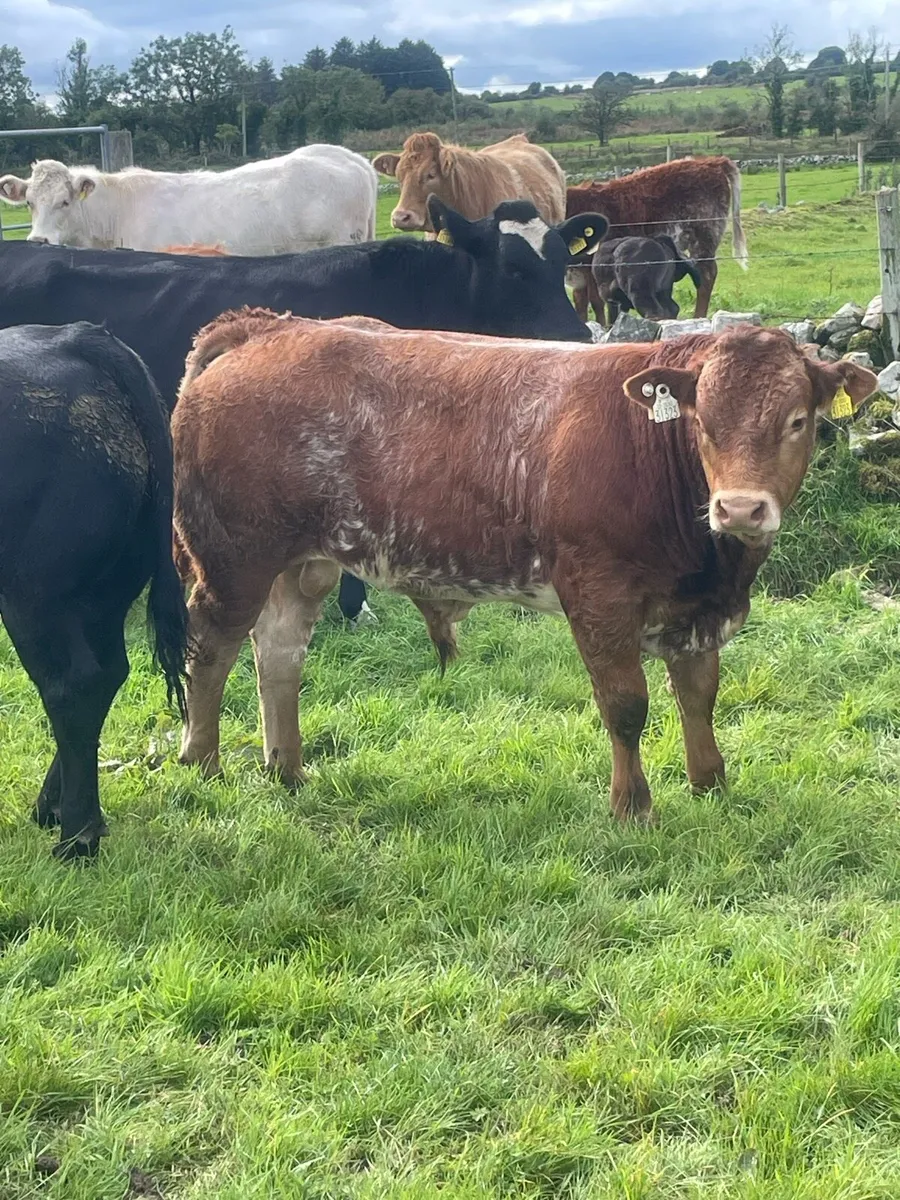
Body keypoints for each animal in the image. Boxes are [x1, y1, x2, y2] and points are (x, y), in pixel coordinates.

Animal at [0, 322, 187, 859]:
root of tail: (73, 337)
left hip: (33, 594)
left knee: (71, 683)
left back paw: (76, 836)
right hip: (102, 595)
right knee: (105, 674)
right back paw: (60, 812)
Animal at [171, 314, 876, 822]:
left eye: (798, 420)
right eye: (704, 422)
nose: (739, 507)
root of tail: (266, 328)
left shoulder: (696, 607)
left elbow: (698, 694)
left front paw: (710, 784)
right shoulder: (597, 591)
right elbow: (626, 703)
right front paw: (632, 806)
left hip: (302, 564)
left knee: (279, 654)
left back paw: (287, 768)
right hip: (234, 558)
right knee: (210, 647)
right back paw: (202, 763)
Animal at [565, 157, 748, 319]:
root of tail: (711, 161)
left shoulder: (590, 267)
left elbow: (596, 302)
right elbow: (580, 304)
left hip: (703, 235)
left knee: (706, 275)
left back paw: (698, 317)